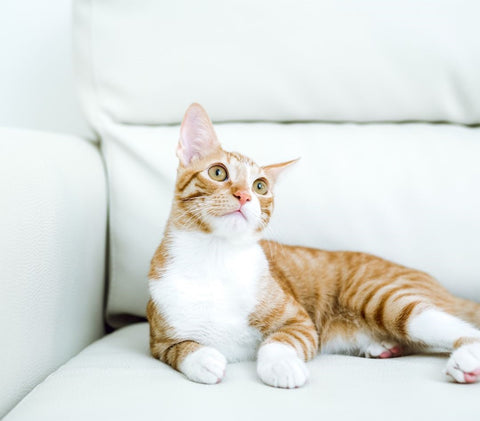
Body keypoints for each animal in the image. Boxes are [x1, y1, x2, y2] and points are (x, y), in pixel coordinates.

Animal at [146, 101, 480, 388]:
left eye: (260, 186)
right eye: (218, 172)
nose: (245, 196)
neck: (215, 257)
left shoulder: (300, 322)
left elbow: (278, 342)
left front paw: (281, 366)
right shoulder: (158, 340)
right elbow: (180, 349)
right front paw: (204, 359)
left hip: (382, 297)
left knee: (460, 328)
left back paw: (465, 360)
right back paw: (386, 347)